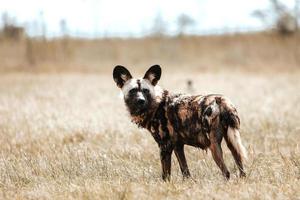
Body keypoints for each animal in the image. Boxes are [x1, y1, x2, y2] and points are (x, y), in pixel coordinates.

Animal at [112, 65, 246, 180]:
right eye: (133, 91)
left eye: (146, 91)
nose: (141, 100)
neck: (156, 104)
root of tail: (220, 100)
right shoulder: (178, 146)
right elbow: (185, 172)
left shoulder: (165, 146)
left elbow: (165, 175)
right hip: (232, 143)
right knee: (241, 169)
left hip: (213, 145)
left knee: (226, 172)